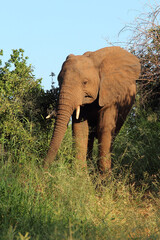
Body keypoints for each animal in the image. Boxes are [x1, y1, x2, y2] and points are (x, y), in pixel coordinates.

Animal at [44, 46, 141, 174]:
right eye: (59, 80)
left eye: (85, 82)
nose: (43, 171)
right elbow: (80, 129)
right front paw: (80, 176)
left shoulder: (111, 96)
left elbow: (104, 129)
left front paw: (104, 178)